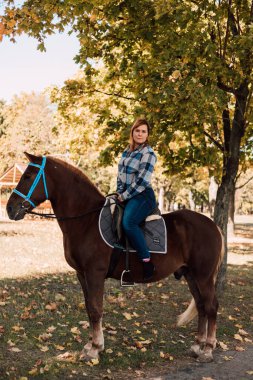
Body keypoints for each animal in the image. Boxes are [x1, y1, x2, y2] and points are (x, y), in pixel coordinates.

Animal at [5, 151, 223, 362]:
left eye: (27, 176)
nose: (9, 208)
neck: (86, 220)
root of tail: (213, 226)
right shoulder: (82, 274)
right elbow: (89, 308)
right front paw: (92, 345)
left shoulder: (95, 273)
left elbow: (95, 309)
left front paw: (94, 349)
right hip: (190, 275)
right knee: (201, 306)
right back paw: (197, 346)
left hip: (203, 277)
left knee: (211, 307)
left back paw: (207, 349)